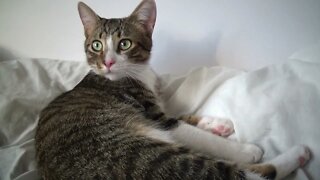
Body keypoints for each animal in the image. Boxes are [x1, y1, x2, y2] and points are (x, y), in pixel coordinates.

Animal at [35, 0, 310, 179]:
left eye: (125, 44)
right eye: (96, 45)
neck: (133, 74)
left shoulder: (158, 106)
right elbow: (187, 130)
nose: (108, 62)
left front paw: (217, 124)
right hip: (147, 157)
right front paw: (245, 149)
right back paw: (297, 154)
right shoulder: (155, 115)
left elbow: (184, 117)